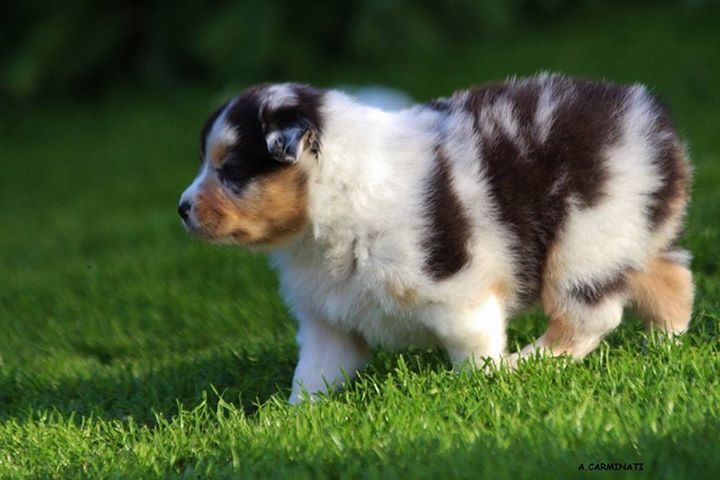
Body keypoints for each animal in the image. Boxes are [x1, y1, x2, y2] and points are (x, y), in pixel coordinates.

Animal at [179, 73, 692, 404]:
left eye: (232, 172)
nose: (182, 209)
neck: (332, 196)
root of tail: (656, 128)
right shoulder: (329, 321)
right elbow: (313, 375)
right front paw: (291, 418)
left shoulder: (459, 293)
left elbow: (473, 349)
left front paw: (483, 384)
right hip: (627, 237)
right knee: (672, 278)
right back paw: (665, 346)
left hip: (584, 242)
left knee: (589, 319)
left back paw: (525, 363)